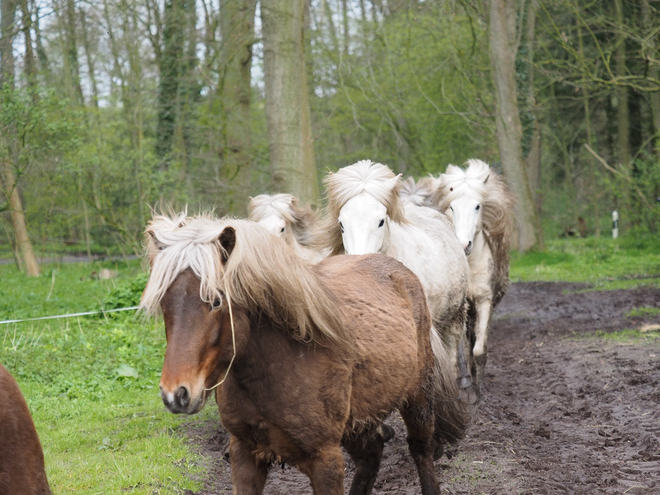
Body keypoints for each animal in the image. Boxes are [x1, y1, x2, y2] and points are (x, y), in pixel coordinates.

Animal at [142, 215, 466, 495]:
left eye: (216, 301)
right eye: (164, 302)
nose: (176, 394)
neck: (280, 364)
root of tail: (401, 271)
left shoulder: (325, 461)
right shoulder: (245, 454)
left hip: (417, 400)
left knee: (420, 451)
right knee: (371, 456)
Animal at [430, 161, 520, 394]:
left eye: (477, 206)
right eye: (452, 207)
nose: (464, 245)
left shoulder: (484, 301)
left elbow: (479, 350)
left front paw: (479, 390)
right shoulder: (461, 306)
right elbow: (461, 348)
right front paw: (465, 383)